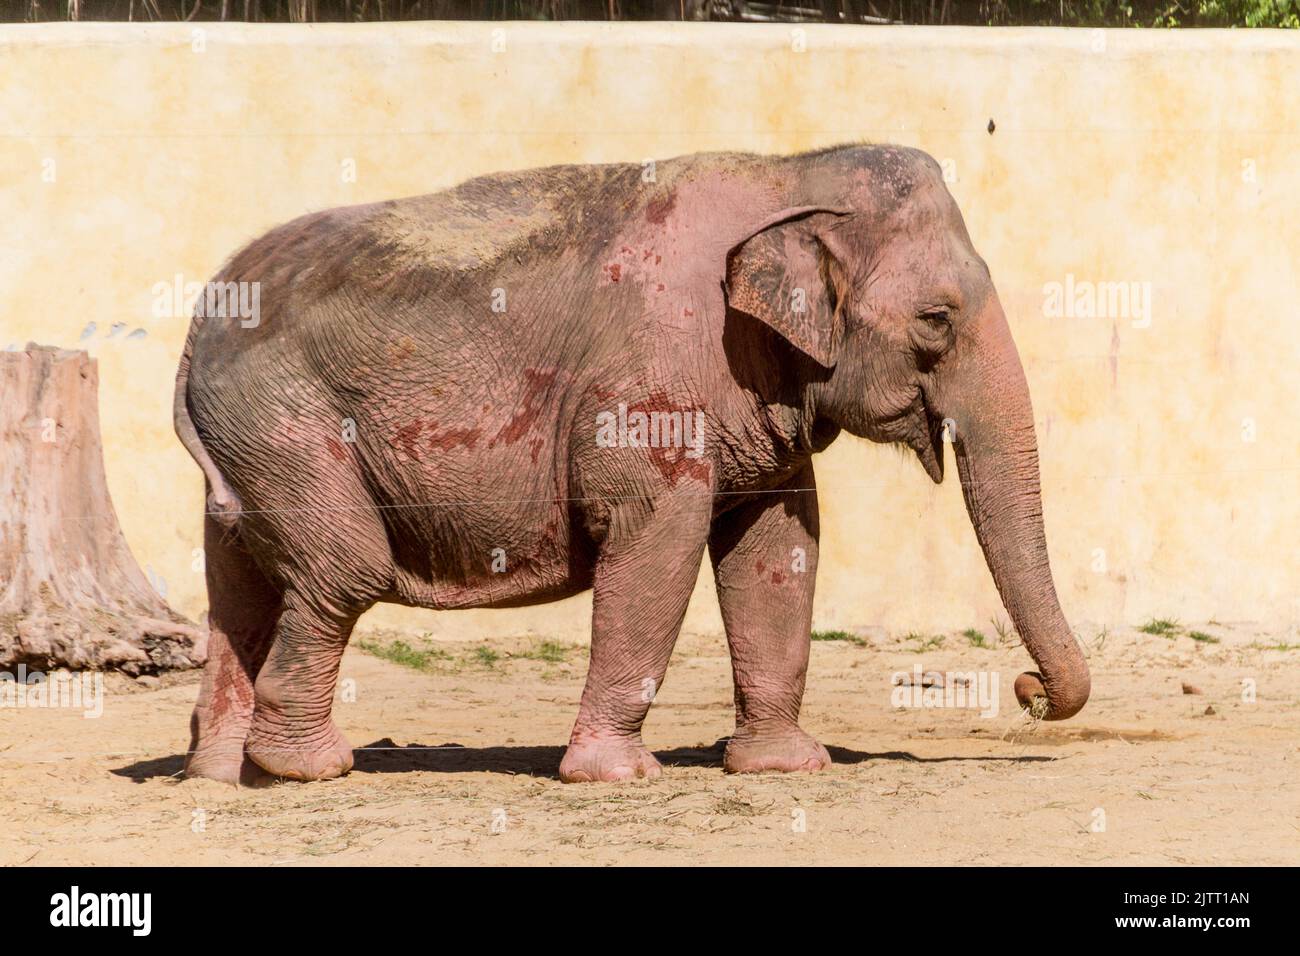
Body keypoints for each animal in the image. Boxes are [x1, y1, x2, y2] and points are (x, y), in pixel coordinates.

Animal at [172, 141, 1086, 785]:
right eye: (937, 318)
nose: (1027, 691)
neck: (788, 170)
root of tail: (196, 324)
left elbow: (778, 550)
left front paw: (787, 767)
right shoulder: (652, 385)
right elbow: (659, 542)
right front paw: (618, 775)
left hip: (245, 447)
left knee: (241, 588)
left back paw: (221, 777)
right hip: (287, 425)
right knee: (345, 569)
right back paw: (309, 767)